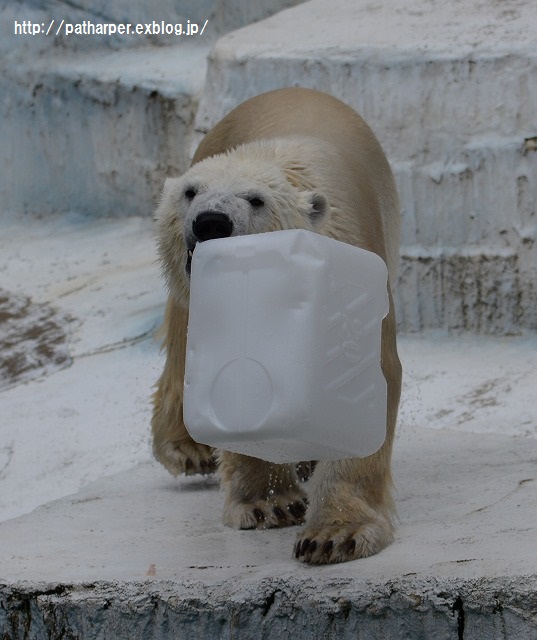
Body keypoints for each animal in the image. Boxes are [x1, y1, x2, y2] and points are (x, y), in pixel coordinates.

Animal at [153, 86, 400, 564]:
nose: (211, 222)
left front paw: (335, 534)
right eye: (191, 192)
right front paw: (270, 502)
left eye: (256, 200)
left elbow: (363, 383)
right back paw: (188, 449)